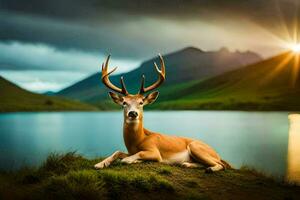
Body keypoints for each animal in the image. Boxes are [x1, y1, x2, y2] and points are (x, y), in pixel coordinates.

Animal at [95, 54, 231, 172]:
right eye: (124, 102)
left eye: (141, 102)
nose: (133, 113)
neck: (138, 140)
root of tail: (217, 153)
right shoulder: (129, 151)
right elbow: (117, 152)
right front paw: (100, 164)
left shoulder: (154, 151)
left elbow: (132, 157)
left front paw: (135, 161)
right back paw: (187, 164)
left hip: (196, 147)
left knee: (221, 165)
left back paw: (209, 169)